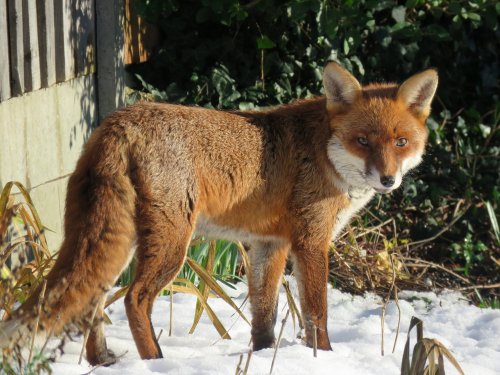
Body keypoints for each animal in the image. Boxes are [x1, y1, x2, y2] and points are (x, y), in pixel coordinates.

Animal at [0, 63, 438, 366]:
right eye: (362, 141)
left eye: (401, 142)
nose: (388, 179)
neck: (322, 152)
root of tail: (118, 121)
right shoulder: (311, 242)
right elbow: (316, 314)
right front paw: (322, 358)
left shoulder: (269, 244)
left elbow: (263, 313)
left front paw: (262, 357)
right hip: (172, 243)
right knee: (134, 300)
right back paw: (155, 360)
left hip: (119, 242)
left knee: (93, 299)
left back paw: (102, 361)